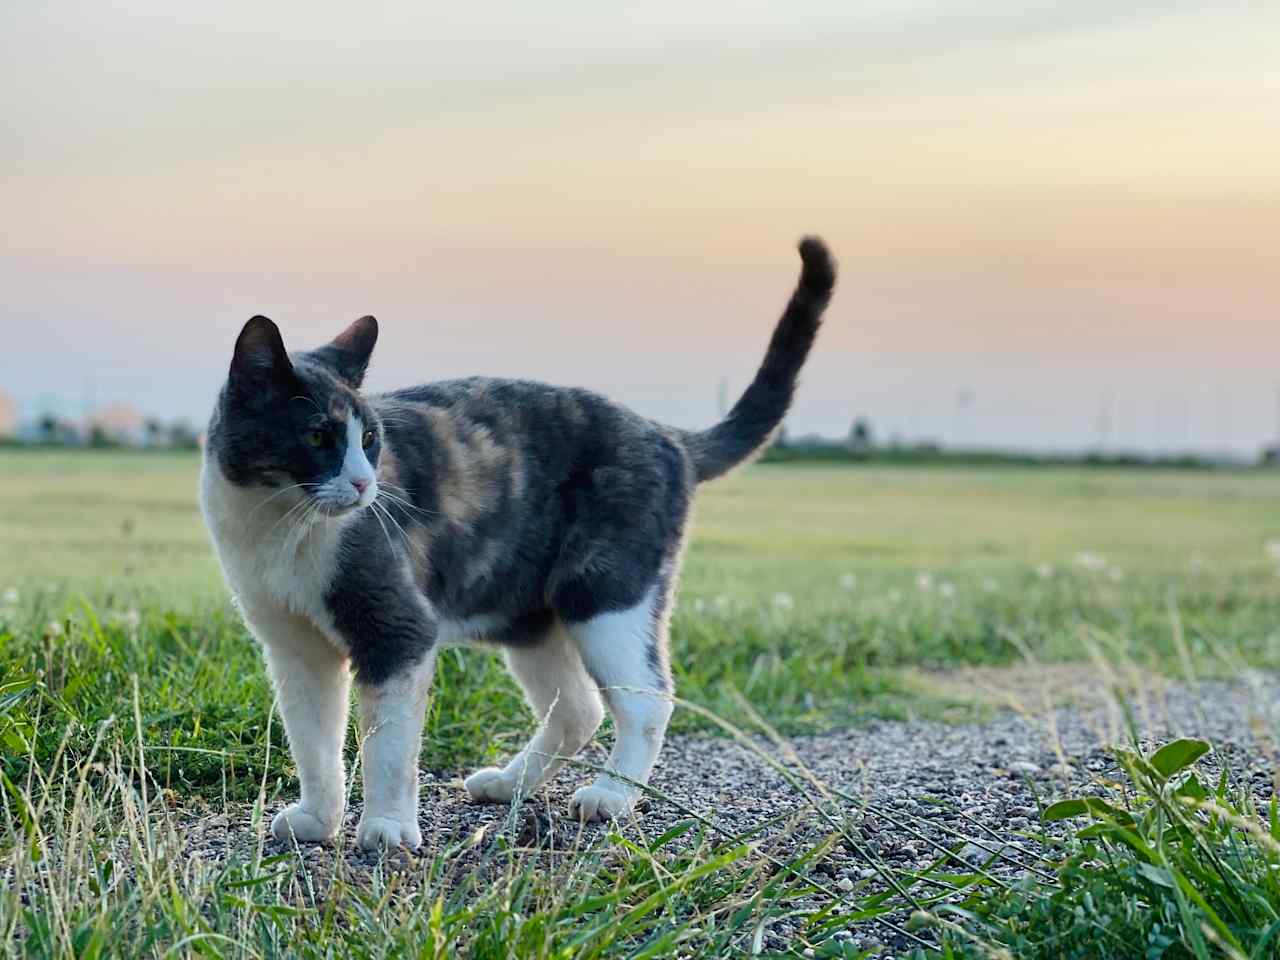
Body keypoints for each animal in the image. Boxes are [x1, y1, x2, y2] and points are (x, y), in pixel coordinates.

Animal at [198, 239, 834, 849]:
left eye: (371, 439)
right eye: (317, 437)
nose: (363, 483)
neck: (278, 527)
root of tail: (667, 436)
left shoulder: (398, 628)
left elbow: (388, 745)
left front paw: (388, 829)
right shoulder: (294, 650)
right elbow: (313, 739)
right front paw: (317, 819)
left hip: (607, 594)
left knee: (648, 700)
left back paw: (611, 796)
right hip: (528, 615)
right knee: (579, 709)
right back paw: (511, 784)